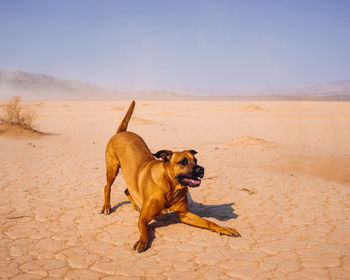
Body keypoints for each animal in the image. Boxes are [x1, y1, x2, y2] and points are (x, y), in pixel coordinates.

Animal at [100, 100, 239, 252]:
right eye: (183, 162)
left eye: (196, 160)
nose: (202, 169)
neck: (171, 186)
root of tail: (122, 132)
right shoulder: (143, 218)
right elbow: (144, 230)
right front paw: (143, 240)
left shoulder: (185, 215)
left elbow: (208, 221)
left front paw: (224, 228)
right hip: (112, 169)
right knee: (107, 186)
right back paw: (107, 206)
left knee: (127, 189)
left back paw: (135, 205)